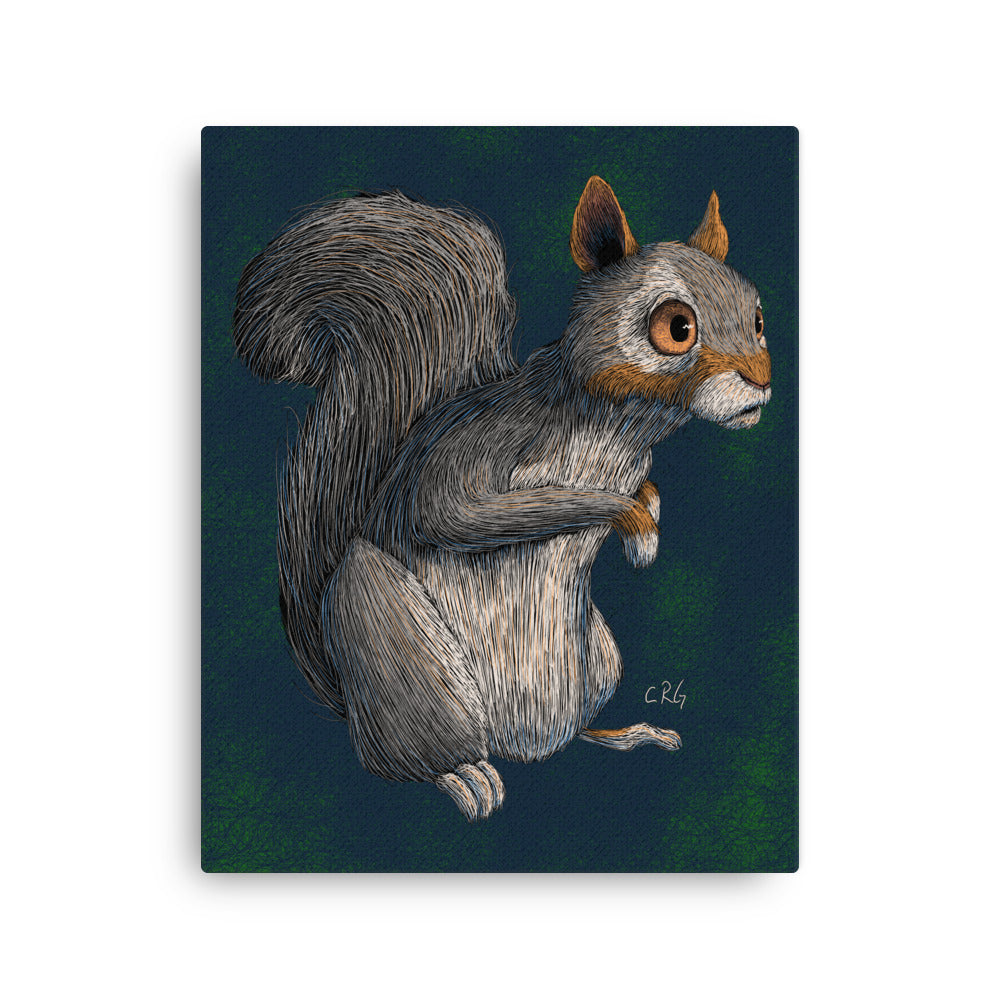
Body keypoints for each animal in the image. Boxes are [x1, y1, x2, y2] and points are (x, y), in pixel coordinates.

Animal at [233, 176, 772, 821]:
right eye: (676, 327)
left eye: (758, 316)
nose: (761, 381)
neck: (620, 428)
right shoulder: (478, 450)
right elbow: (460, 514)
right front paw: (634, 524)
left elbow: (647, 487)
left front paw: (651, 520)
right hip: (401, 654)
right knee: (410, 757)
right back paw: (463, 776)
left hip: (598, 660)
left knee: (573, 732)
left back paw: (628, 734)